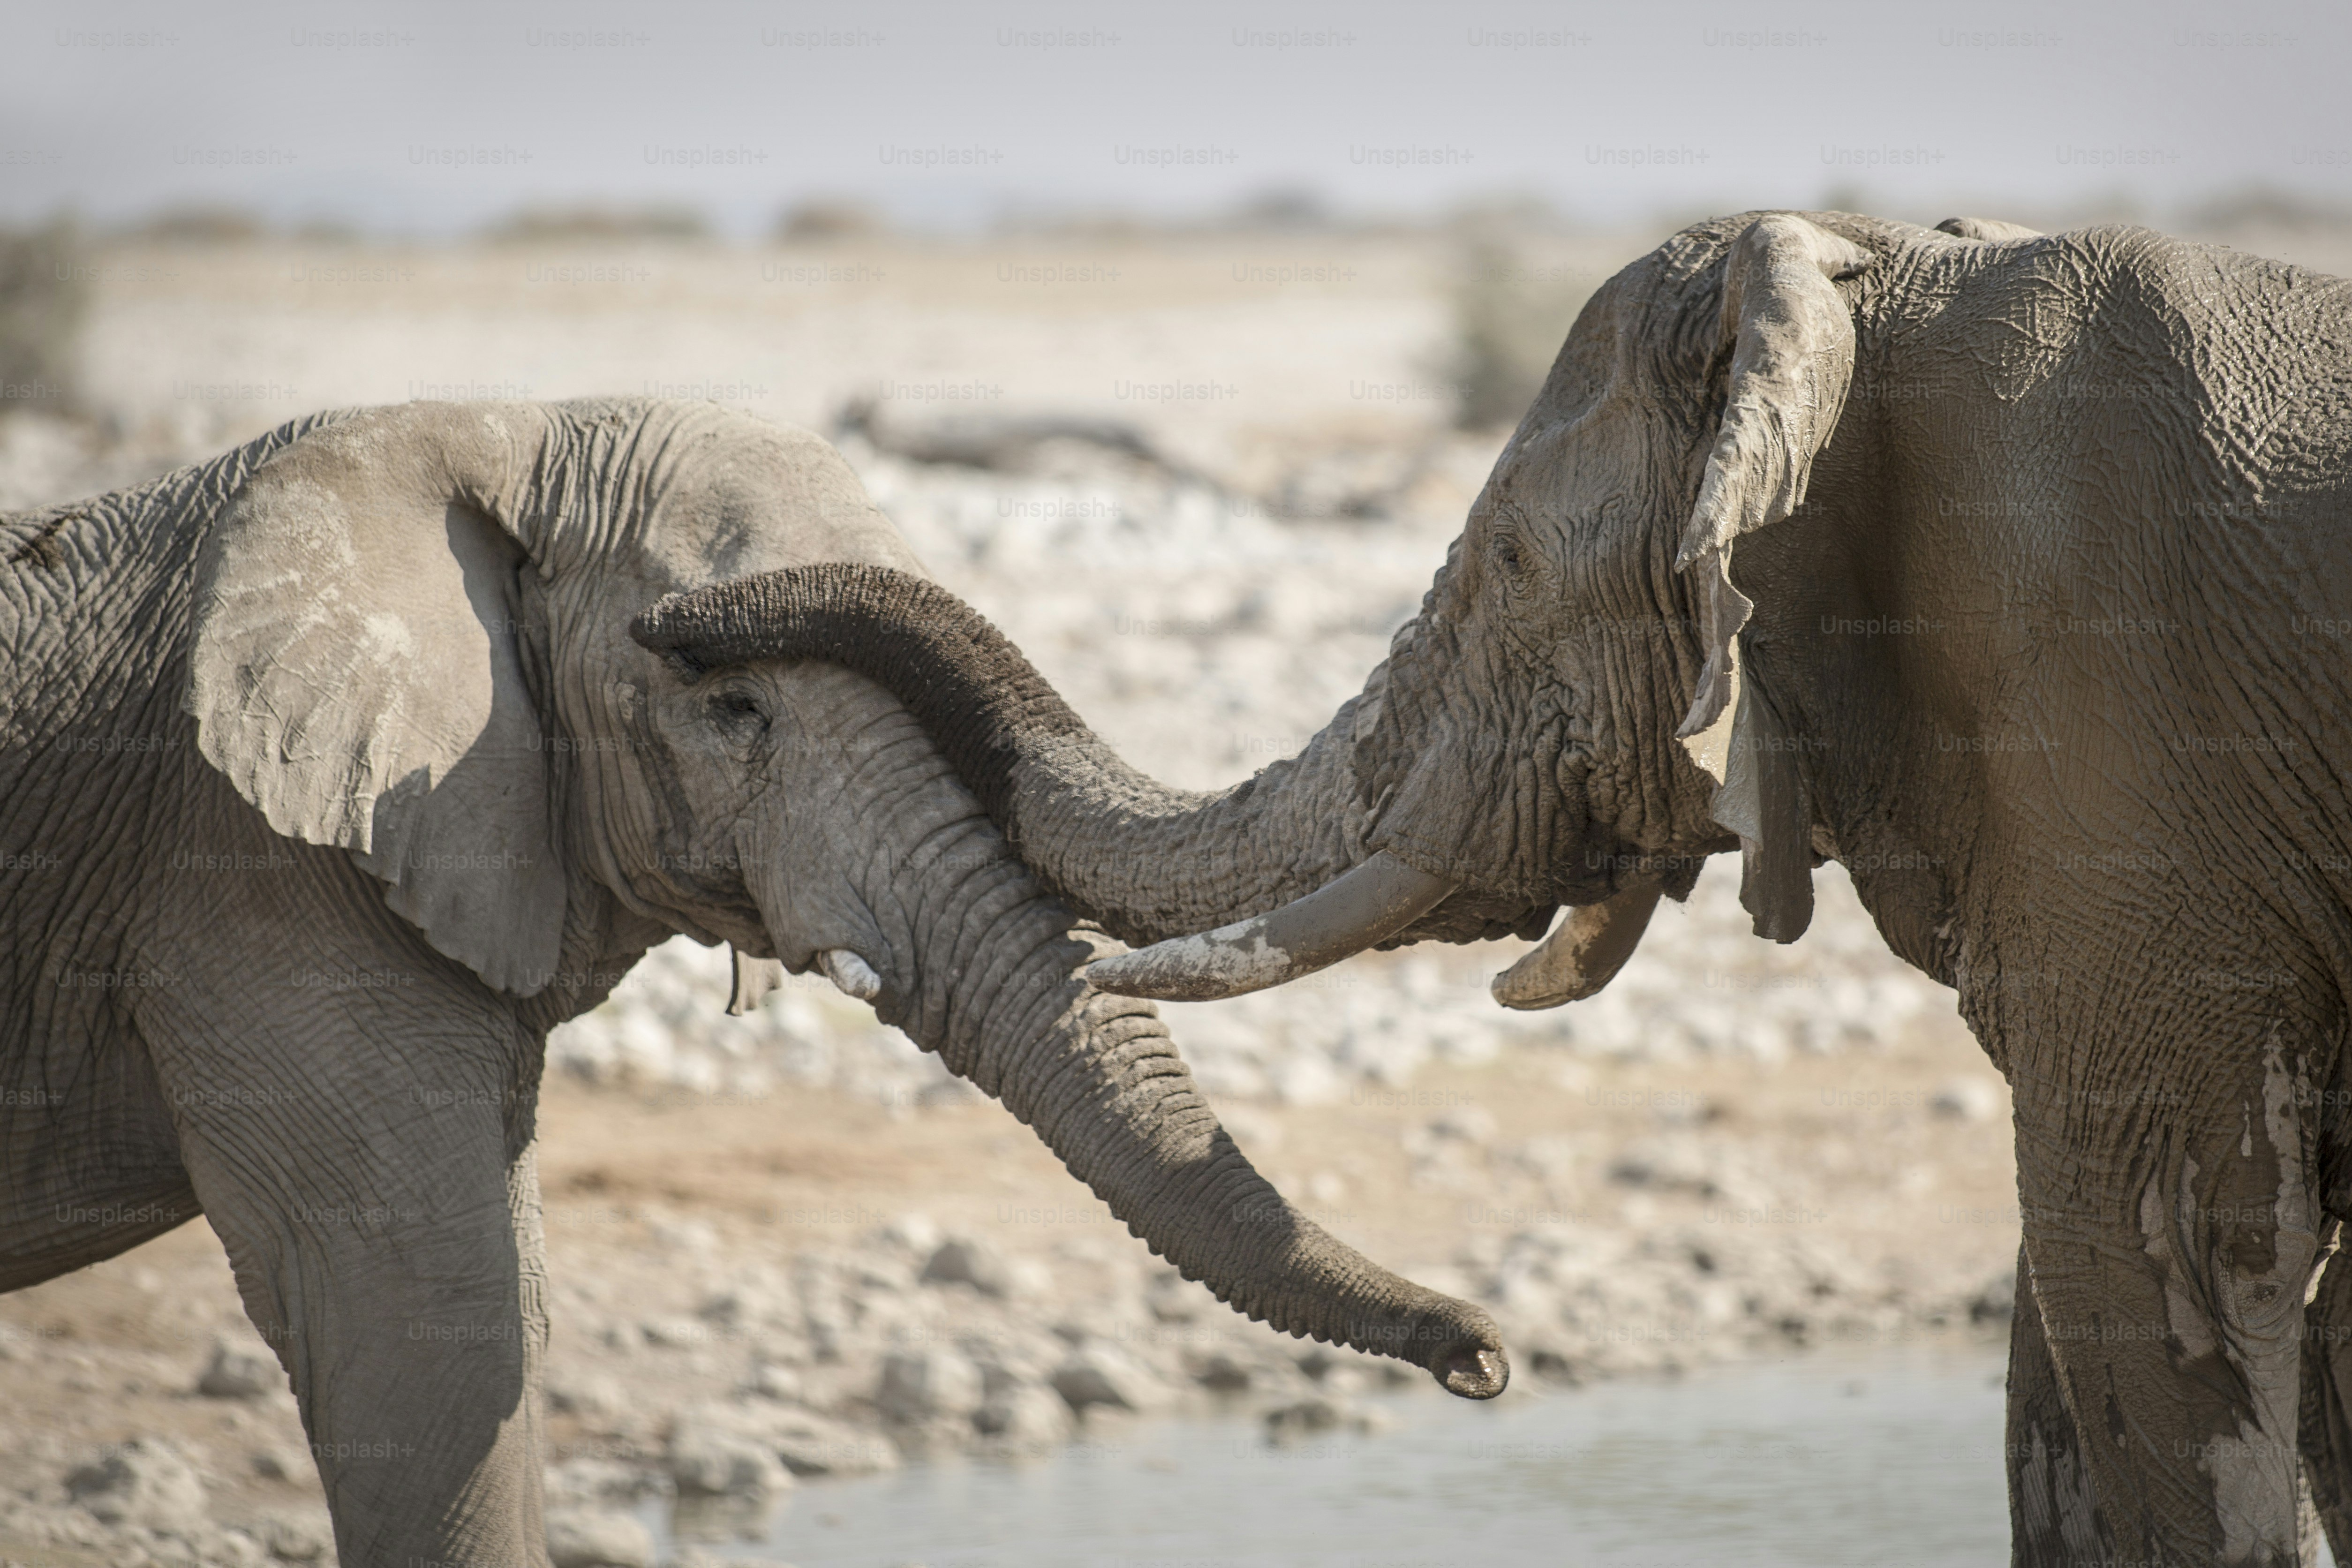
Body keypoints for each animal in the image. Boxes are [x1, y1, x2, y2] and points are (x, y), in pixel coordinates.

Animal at [0, 397, 1508, 1568]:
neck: (496, 425)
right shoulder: (248, 866)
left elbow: (489, 1309)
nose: (1486, 1360)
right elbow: (429, 1315)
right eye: (734, 712)